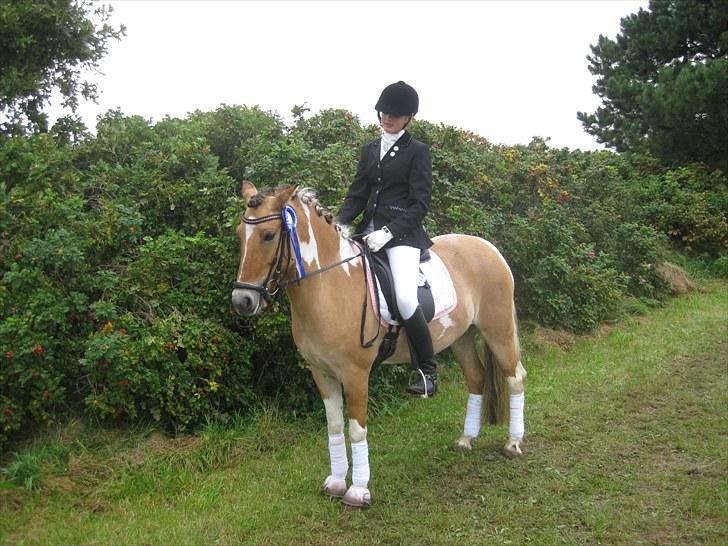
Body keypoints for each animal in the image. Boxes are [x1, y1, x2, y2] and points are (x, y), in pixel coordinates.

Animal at [231, 182, 527, 508]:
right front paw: (336, 482)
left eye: (269, 235)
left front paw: (358, 491)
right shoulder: (321, 373)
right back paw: (466, 440)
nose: (242, 301)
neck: (330, 286)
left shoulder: (355, 374)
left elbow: (357, 430)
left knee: (515, 377)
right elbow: (335, 427)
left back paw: (513, 443)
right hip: (461, 337)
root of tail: (489, 248)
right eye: (239, 234)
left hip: (497, 330)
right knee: (476, 378)